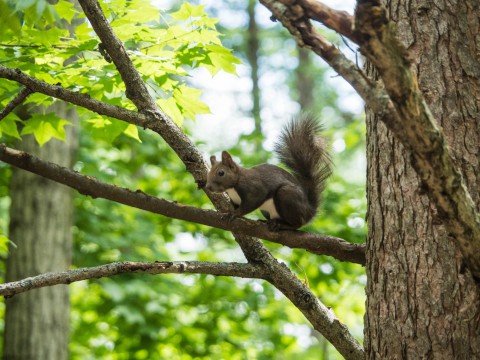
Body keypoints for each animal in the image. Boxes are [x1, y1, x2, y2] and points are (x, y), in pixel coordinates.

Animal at [204, 114, 332, 229]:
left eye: (221, 173)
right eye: (208, 173)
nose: (208, 187)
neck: (233, 186)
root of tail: (309, 212)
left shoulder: (254, 189)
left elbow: (249, 204)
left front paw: (233, 214)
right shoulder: (235, 200)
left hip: (287, 195)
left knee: (297, 224)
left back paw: (282, 225)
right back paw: (268, 221)